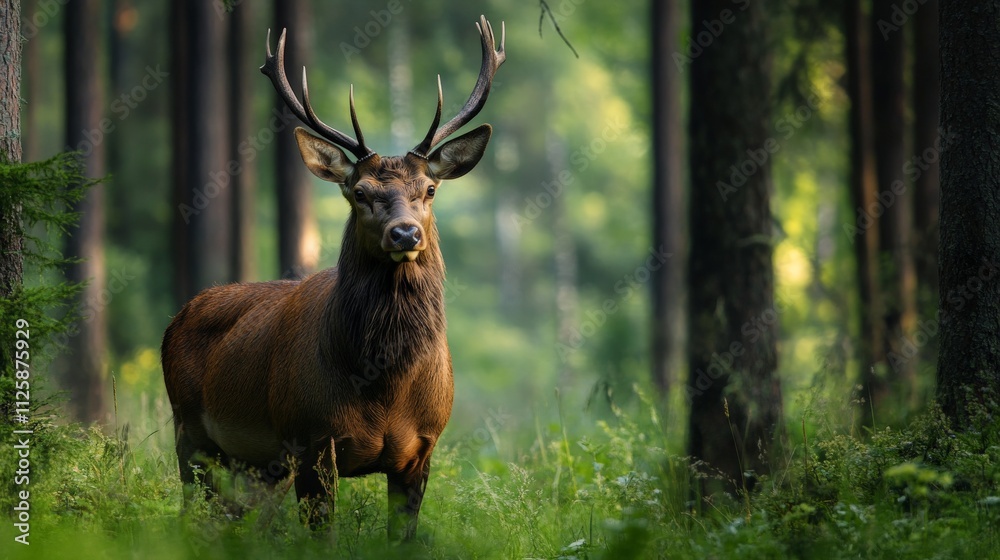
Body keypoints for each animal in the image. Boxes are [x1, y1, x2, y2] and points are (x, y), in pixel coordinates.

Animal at [161, 15, 505, 540]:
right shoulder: (311, 439)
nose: (405, 233)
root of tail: (179, 315)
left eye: (429, 189)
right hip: (190, 433)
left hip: (252, 464)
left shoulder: (422, 448)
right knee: (192, 512)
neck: (384, 388)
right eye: (359, 192)